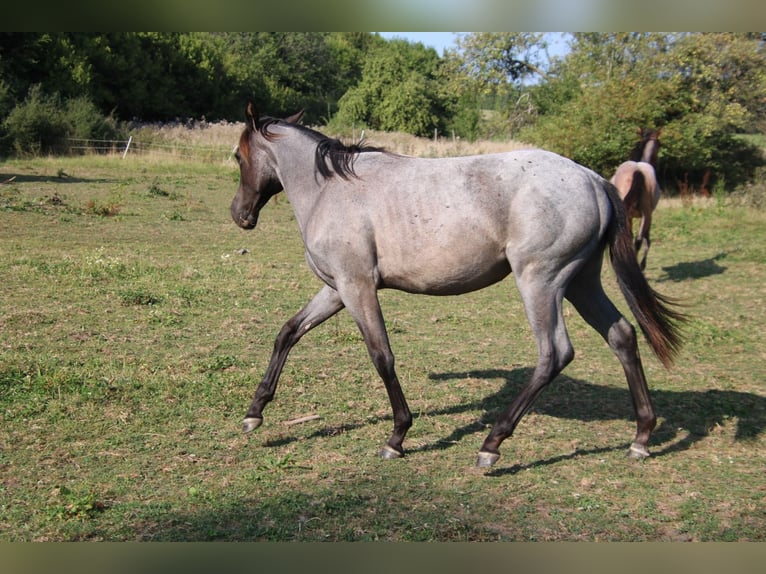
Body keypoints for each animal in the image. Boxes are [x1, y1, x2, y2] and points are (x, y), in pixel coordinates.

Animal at [610, 128, 663, 270]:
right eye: (659, 145)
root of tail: (637, 170)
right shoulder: (648, 215)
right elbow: (646, 239)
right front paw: (643, 264)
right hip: (645, 214)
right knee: (637, 240)